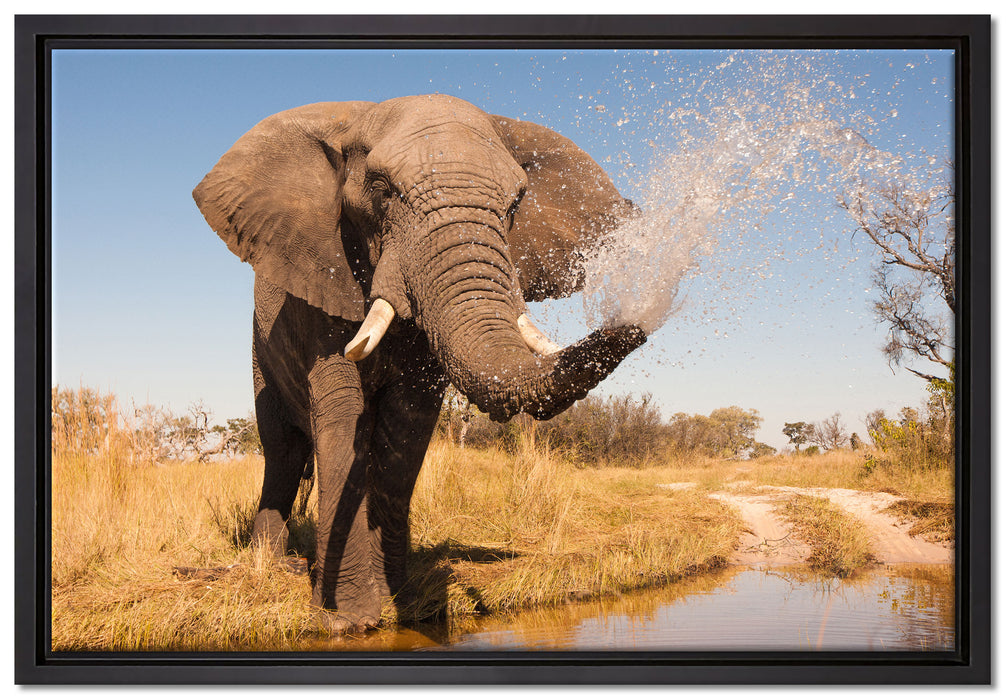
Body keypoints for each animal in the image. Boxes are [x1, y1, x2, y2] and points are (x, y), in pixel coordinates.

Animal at [193, 94, 646, 634]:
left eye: (516, 204)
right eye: (382, 191)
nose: (638, 321)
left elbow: (407, 424)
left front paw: (404, 605)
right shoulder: (323, 276)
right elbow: (342, 413)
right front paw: (348, 620)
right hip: (261, 350)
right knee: (281, 447)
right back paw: (273, 562)